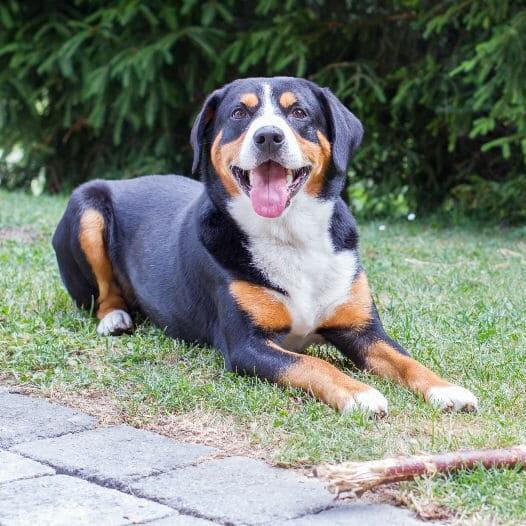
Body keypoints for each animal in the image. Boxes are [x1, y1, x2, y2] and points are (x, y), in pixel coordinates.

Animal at [52, 77, 478, 416]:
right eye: (239, 113)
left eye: (299, 112)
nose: (268, 136)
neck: (290, 235)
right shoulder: (247, 344)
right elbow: (313, 365)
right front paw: (359, 394)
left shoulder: (361, 329)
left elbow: (405, 360)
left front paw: (447, 389)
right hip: (87, 207)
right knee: (104, 294)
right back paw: (115, 317)